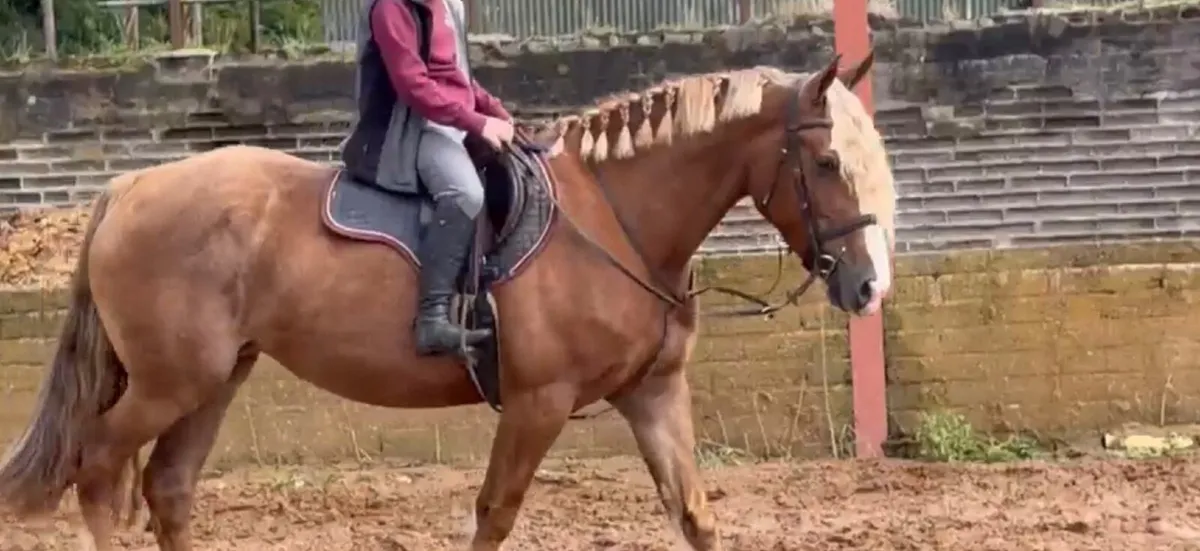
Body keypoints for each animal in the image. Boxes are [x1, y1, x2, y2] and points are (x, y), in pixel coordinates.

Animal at [0, 53, 895, 551]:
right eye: (824, 162)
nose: (868, 284)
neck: (617, 216)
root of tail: (129, 187)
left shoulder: (653, 393)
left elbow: (695, 513)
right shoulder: (537, 402)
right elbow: (494, 514)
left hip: (212, 380)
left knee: (168, 489)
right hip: (166, 383)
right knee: (97, 469)